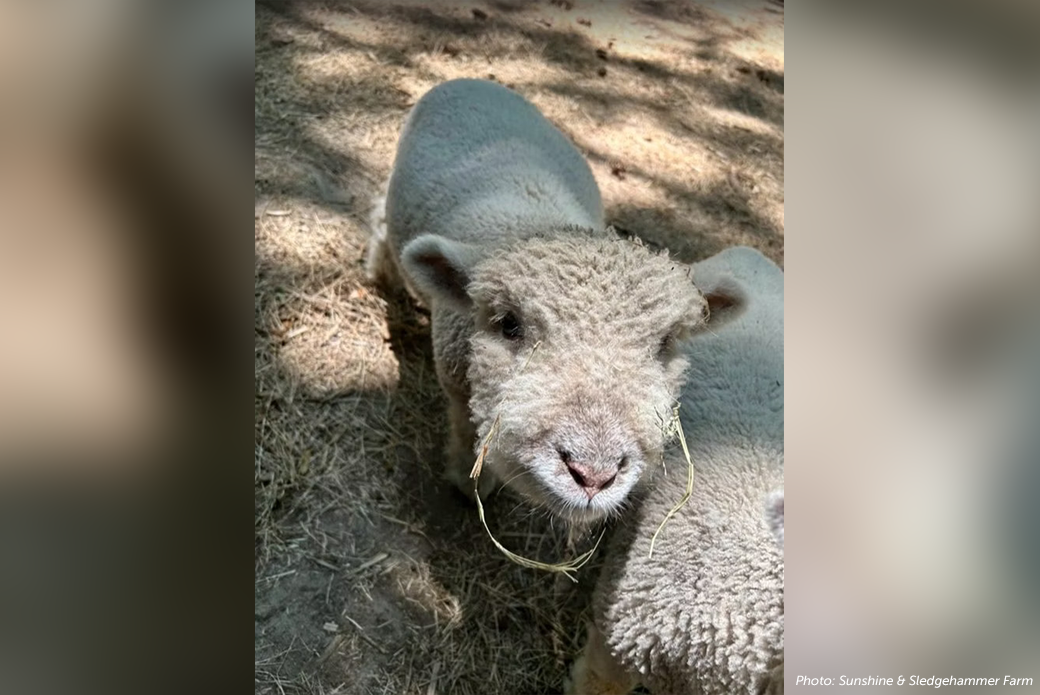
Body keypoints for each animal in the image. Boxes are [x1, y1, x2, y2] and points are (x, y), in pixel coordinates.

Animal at [367, 78, 744, 524]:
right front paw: (467, 481)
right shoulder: (455, 384)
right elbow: (464, 430)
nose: (593, 474)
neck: (536, 221)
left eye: (665, 344)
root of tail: (475, 82)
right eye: (508, 324)